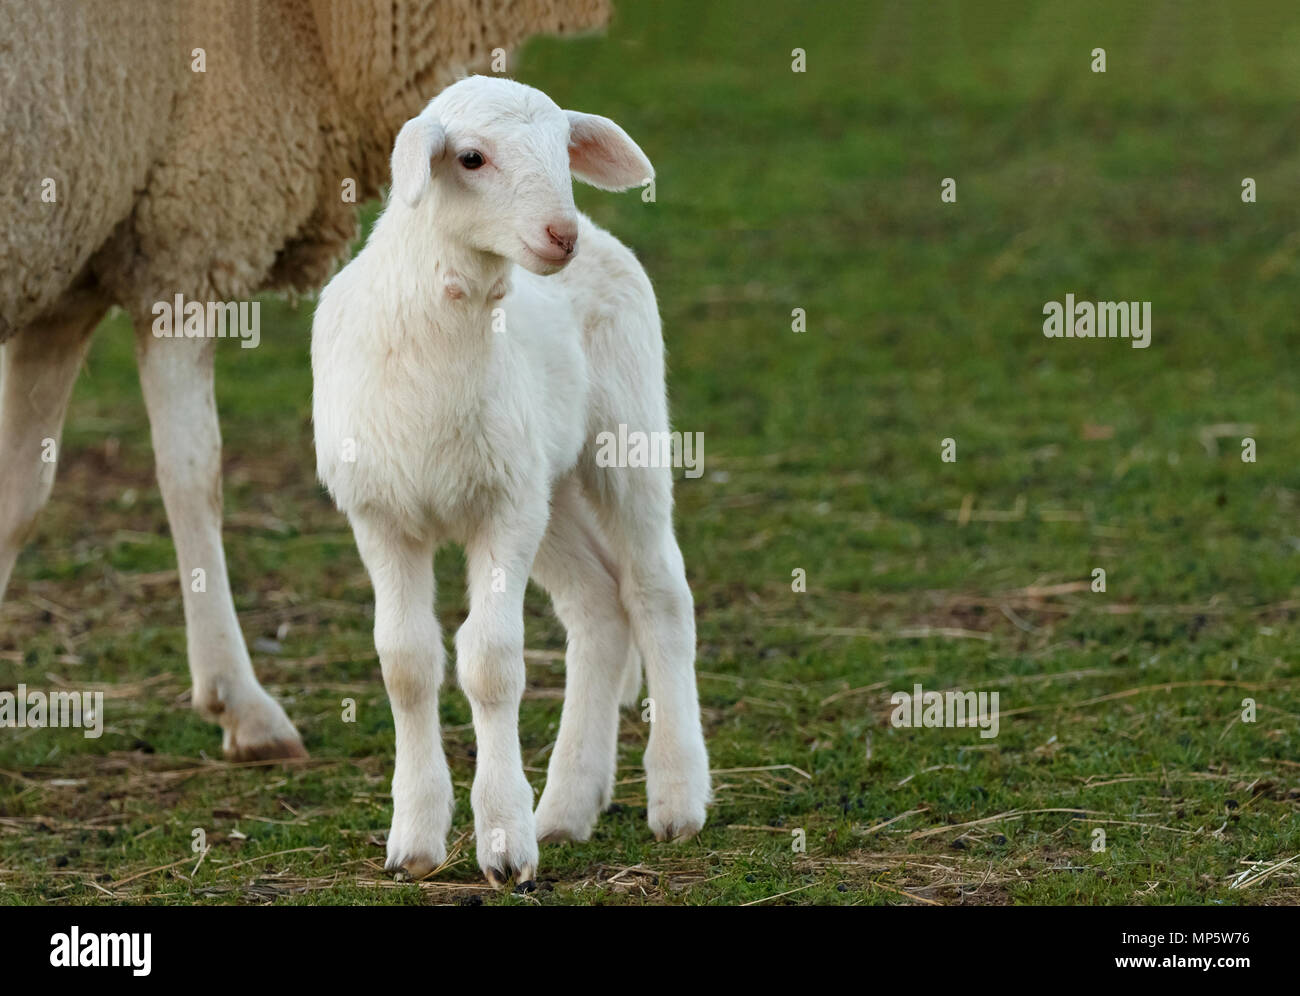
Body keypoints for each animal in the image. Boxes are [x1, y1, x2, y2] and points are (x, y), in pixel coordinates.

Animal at [0, 0, 609, 762]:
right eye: (470, 159)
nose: (564, 236)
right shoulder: (184, 237)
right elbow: (194, 477)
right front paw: (242, 704)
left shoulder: (67, 274)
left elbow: (19, 495)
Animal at [311, 75, 711, 886]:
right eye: (470, 157)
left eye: (564, 146)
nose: (562, 235)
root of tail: (607, 236)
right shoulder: (381, 514)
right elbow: (406, 663)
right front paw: (415, 842)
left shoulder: (502, 510)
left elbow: (491, 664)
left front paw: (503, 843)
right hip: (545, 492)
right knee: (599, 608)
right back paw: (566, 809)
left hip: (621, 435)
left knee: (658, 593)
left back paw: (677, 797)